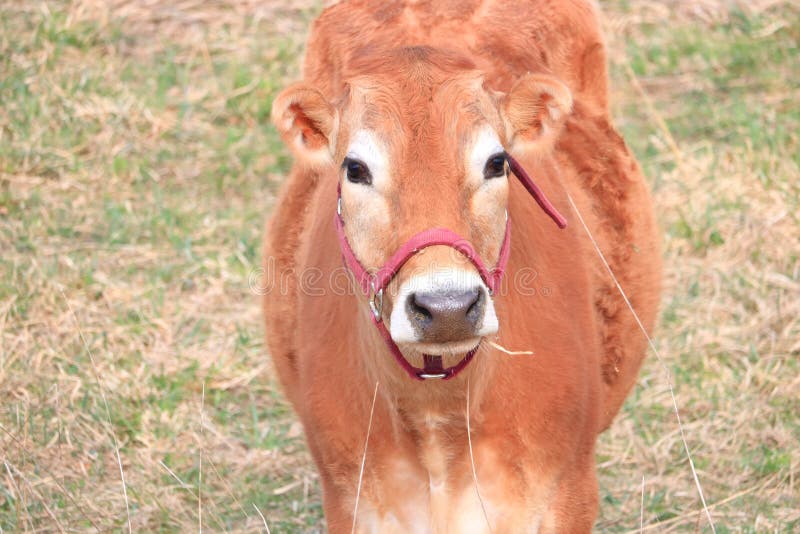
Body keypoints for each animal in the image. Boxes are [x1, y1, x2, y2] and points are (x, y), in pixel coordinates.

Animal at [266, 1, 660, 532]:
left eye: (497, 162)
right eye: (355, 168)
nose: (447, 306)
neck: (439, 421)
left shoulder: (569, 493)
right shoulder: (352, 501)